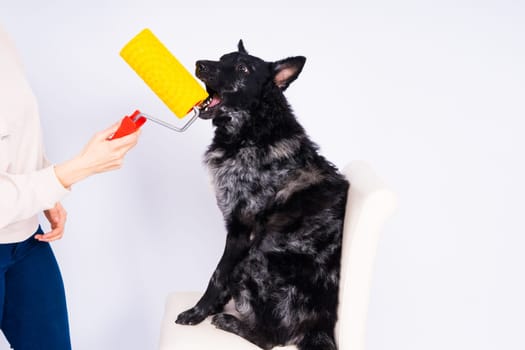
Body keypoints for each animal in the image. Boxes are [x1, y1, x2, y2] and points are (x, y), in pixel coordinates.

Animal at [174, 41, 350, 350]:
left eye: (243, 68)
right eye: (222, 58)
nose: (200, 64)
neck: (254, 130)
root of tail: (323, 324)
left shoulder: (240, 229)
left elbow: (218, 275)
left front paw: (198, 312)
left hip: (253, 261)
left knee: (269, 339)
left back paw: (229, 321)